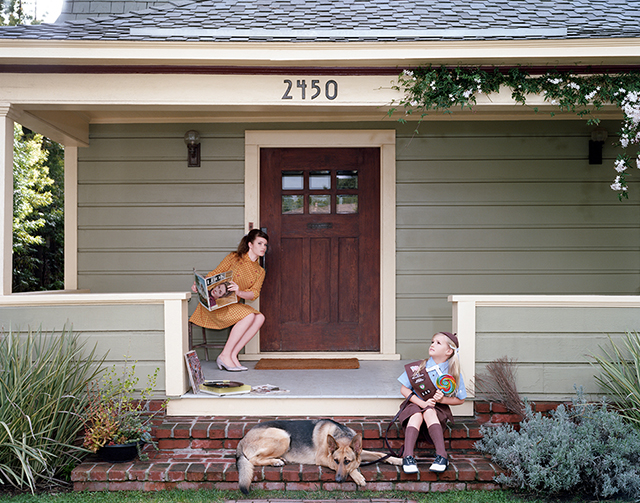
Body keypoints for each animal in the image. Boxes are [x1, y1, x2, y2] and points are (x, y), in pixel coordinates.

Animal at [238, 420, 400, 494]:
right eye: (336, 461)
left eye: (347, 461)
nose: (338, 480)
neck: (341, 435)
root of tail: (243, 439)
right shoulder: (323, 458)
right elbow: (354, 467)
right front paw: (358, 476)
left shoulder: (361, 452)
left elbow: (380, 454)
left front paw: (397, 459)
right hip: (283, 436)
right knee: (253, 459)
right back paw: (275, 461)